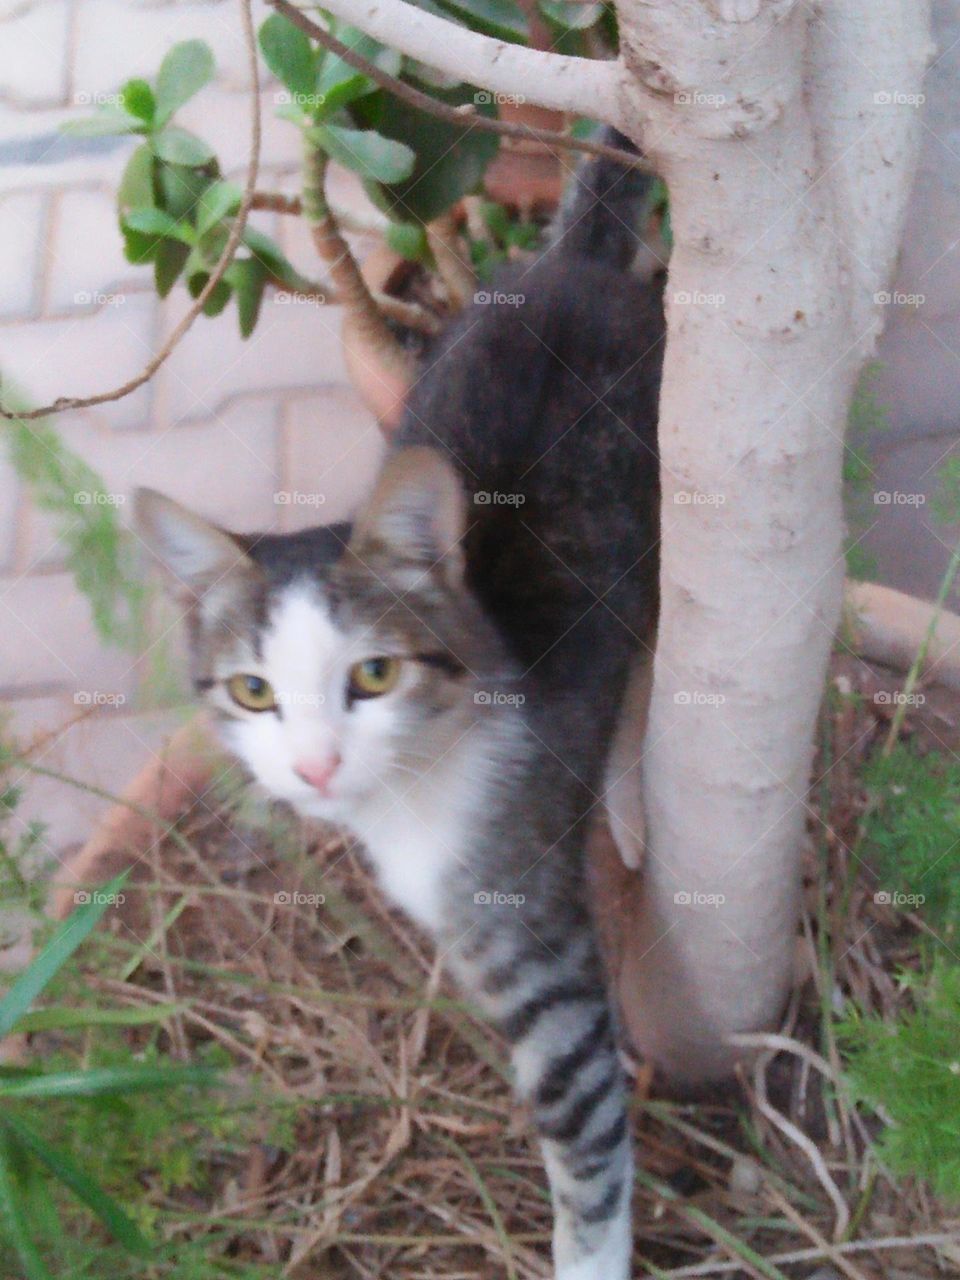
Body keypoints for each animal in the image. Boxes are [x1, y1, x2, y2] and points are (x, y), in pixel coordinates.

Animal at [135, 137, 665, 1280]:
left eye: (373, 676)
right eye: (253, 690)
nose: (315, 767)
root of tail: (573, 266)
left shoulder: (527, 932)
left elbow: (585, 1133)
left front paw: (589, 1255)